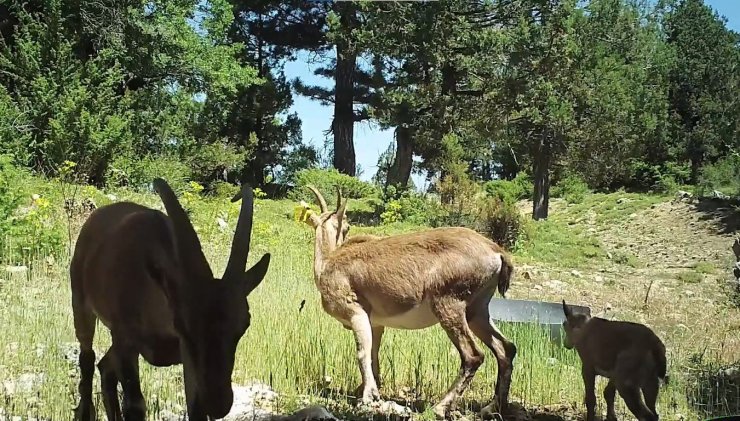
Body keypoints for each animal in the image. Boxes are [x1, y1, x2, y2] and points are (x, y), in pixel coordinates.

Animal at [69, 178, 270, 420]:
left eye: (244, 325)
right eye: (181, 324)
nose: (218, 403)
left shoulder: (187, 358)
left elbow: (195, 407)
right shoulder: (125, 338)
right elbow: (135, 404)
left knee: (105, 365)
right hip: (80, 301)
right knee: (88, 357)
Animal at [294, 188, 516, 420]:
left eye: (347, 227)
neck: (328, 263)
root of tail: (496, 252)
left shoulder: (356, 312)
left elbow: (363, 352)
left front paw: (368, 397)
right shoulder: (376, 323)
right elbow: (373, 354)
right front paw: (367, 390)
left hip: (449, 305)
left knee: (473, 355)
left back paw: (440, 407)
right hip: (478, 311)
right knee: (505, 349)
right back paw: (492, 407)